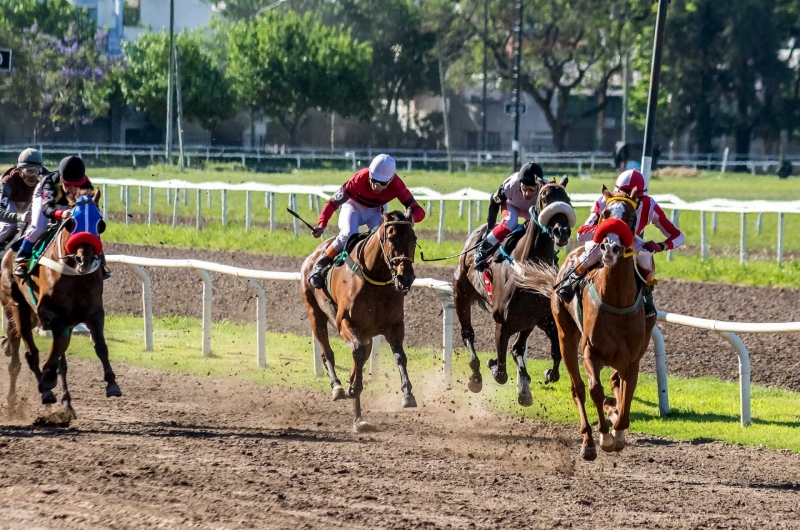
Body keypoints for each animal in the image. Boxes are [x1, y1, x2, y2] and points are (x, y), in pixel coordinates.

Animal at [0, 187, 119, 416]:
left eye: (100, 224)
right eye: (71, 222)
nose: (85, 259)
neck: (74, 274)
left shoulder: (92, 312)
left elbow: (99, 346)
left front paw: (112, 384)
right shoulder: (50, 313)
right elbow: (56, 348)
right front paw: (47, 380)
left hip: (33, 316)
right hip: (17, 307)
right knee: (27, 353)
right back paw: (34, 395)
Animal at [300, 208, 418, 432]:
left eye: (414, 239)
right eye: (391, 237)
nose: (405, 277)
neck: (375, 279)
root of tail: (314, 254)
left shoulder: (394, 327)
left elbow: (400, 356)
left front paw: (408, 394)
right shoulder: (345, 324)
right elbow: (358, 353)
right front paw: (352, 387)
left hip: (367, 334)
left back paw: (359, 419)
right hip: (315, 313)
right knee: (327, 353)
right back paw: (338, 387)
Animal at [450, 177, 576, 404]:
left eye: (567, 198)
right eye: (544, 197)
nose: (562, 231)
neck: (528, 270)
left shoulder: (541, 319)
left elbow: (553, 356)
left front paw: (539, 377)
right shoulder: (503, 323)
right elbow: (500, 371)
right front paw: (493, 366)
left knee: (517, 348)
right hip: (461, 294)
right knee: (468, 334)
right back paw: (476, 375)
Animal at [520, 186, 656, 458]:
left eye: (631, 218)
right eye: (605, 214)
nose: (610, 248)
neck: (616, 300)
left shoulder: (632, 358)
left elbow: (627, 392)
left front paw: (618, 430)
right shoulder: (590, 351)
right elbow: (594, 389)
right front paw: (604, 437)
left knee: (614, 384)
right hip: (565, 335)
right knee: (578, 388)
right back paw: (588, 441)